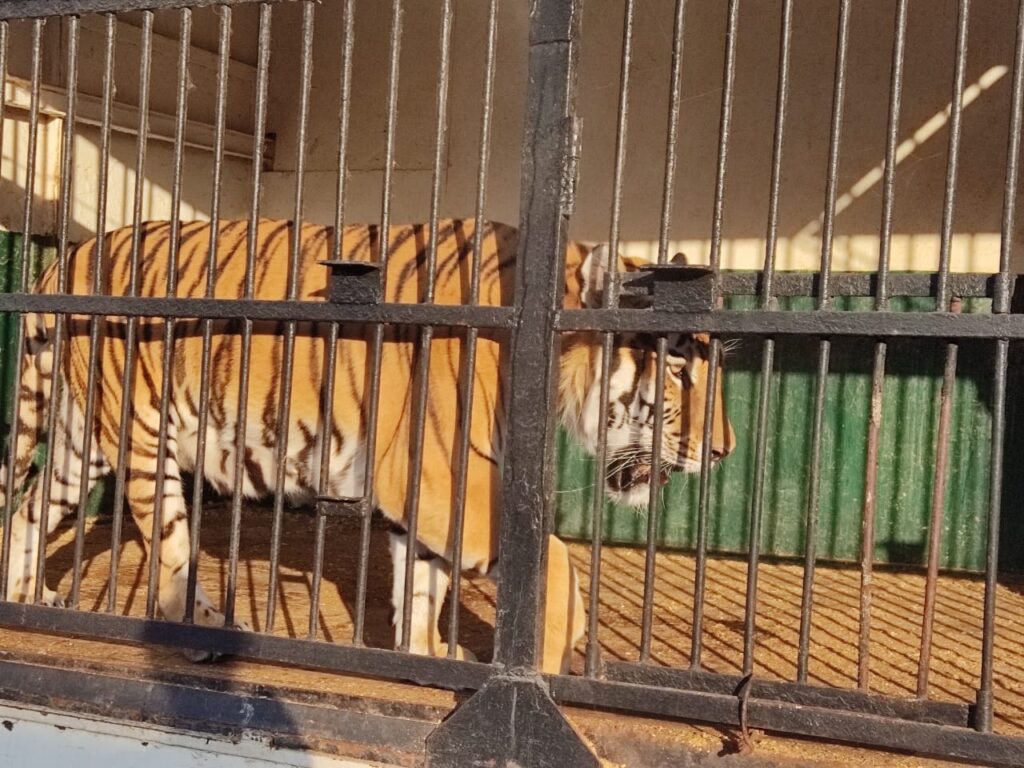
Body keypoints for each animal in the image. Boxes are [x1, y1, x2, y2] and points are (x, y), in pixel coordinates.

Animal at [2, 217, 737, 671]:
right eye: (678, 366)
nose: (724, 451)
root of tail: (61, 260)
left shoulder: (425, 489)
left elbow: (422, 583)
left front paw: (428, 655)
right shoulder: (435, 473)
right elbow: (550, 559)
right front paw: (560, 645)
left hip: (81, 441)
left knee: (31, 507)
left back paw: (28, 597)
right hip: (140, 439)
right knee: (169, 548)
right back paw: (200, 629)